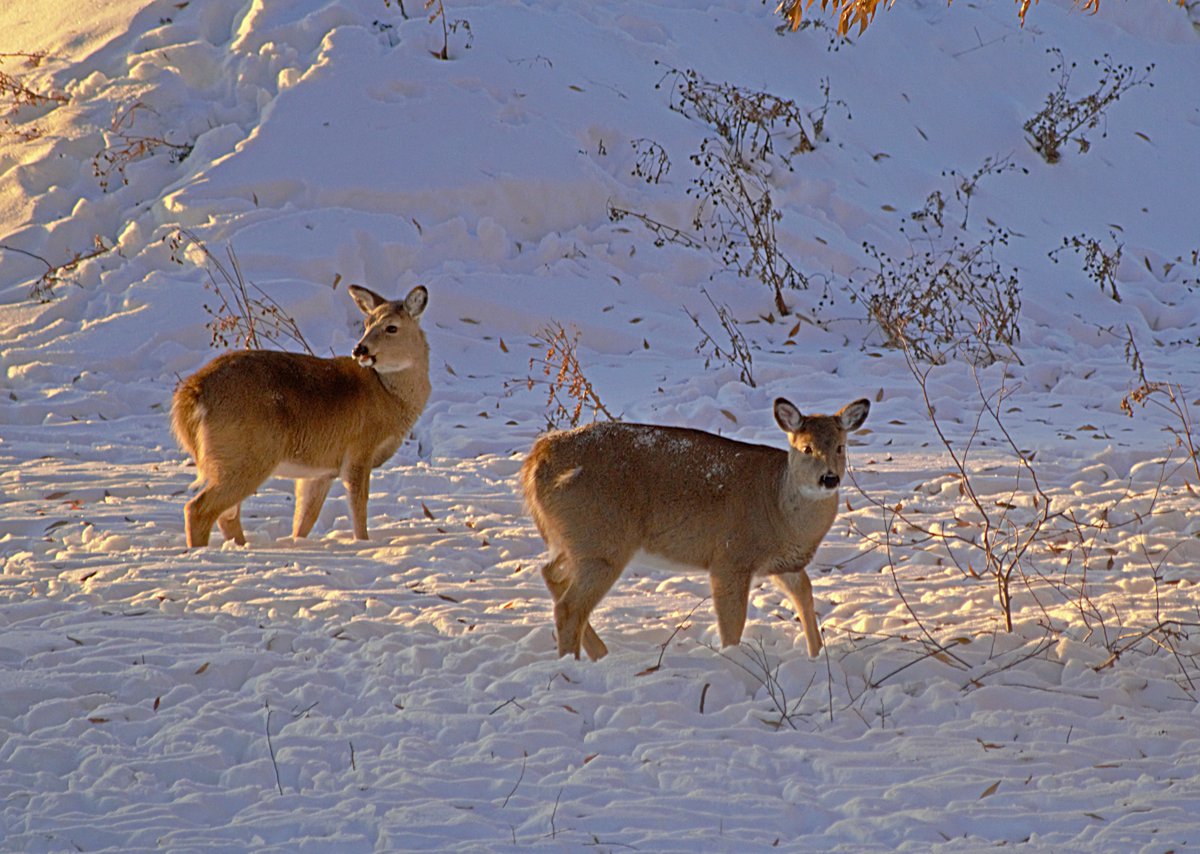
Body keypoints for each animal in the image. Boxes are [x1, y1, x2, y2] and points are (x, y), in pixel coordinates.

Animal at [168, 283, 432, 544]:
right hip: (245, 453)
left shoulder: (322, 469)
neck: (388, 395)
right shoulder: (359, 448)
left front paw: (296, 543)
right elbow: (358, 509)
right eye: (367, 324)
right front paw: (363, 543)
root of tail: (191, 394)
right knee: (199, 509)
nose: (360, 349)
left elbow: (304, 519)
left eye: (391, 327)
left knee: (227, 515)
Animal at [520, 398, 868, 662]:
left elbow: (805, 596)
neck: (778, 506)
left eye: (840, 446)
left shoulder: (783, 564)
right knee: (569, 607)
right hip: (601, 542)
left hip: (573, 539)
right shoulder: (730, 557)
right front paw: (733, 661)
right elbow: (732, 624)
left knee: (551, 574)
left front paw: (816, 656)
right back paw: (572, 664)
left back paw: (599, 653)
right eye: (806, 448)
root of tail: (537, 458)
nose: (829, 478)